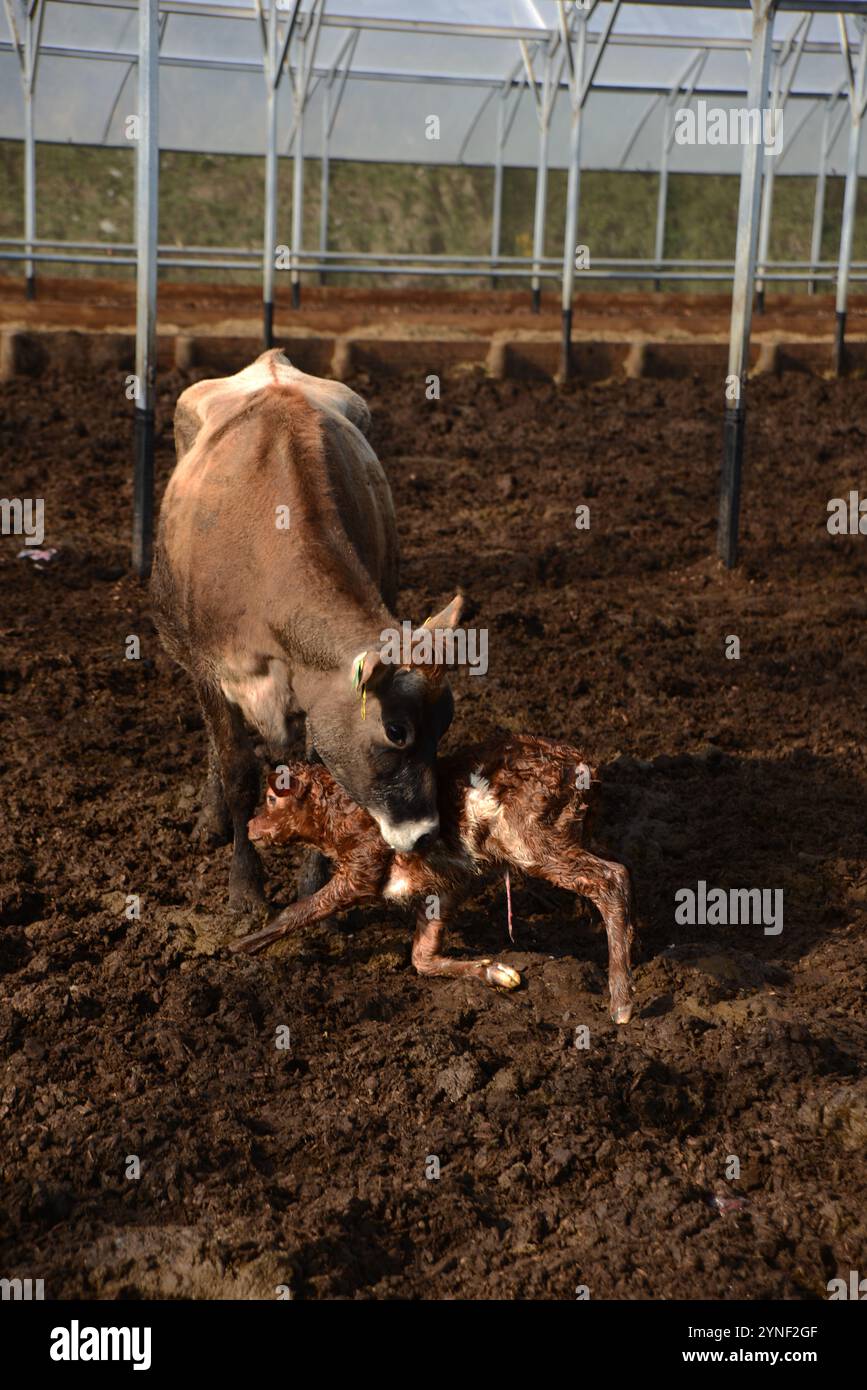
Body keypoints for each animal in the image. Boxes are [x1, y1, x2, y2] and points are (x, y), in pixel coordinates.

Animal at [150, 350, 461, 911]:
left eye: (443, 726)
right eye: (397, 731)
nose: (426, 834)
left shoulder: (321, 695)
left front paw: (314, 888)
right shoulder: (212, 669)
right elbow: (237, 771)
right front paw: (244, 888)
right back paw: (209, 817)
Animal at [230, 739, 636, 1023]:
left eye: (272, 797)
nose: (250, 826)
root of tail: (581, 765)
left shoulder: (364, 864)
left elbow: (300, 909)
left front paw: (242, 946)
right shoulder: (448, 884)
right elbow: (421, 957)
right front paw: (494, 972)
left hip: (530, 839)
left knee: (611, 877)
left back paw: (622, 1004)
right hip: (568, 831)